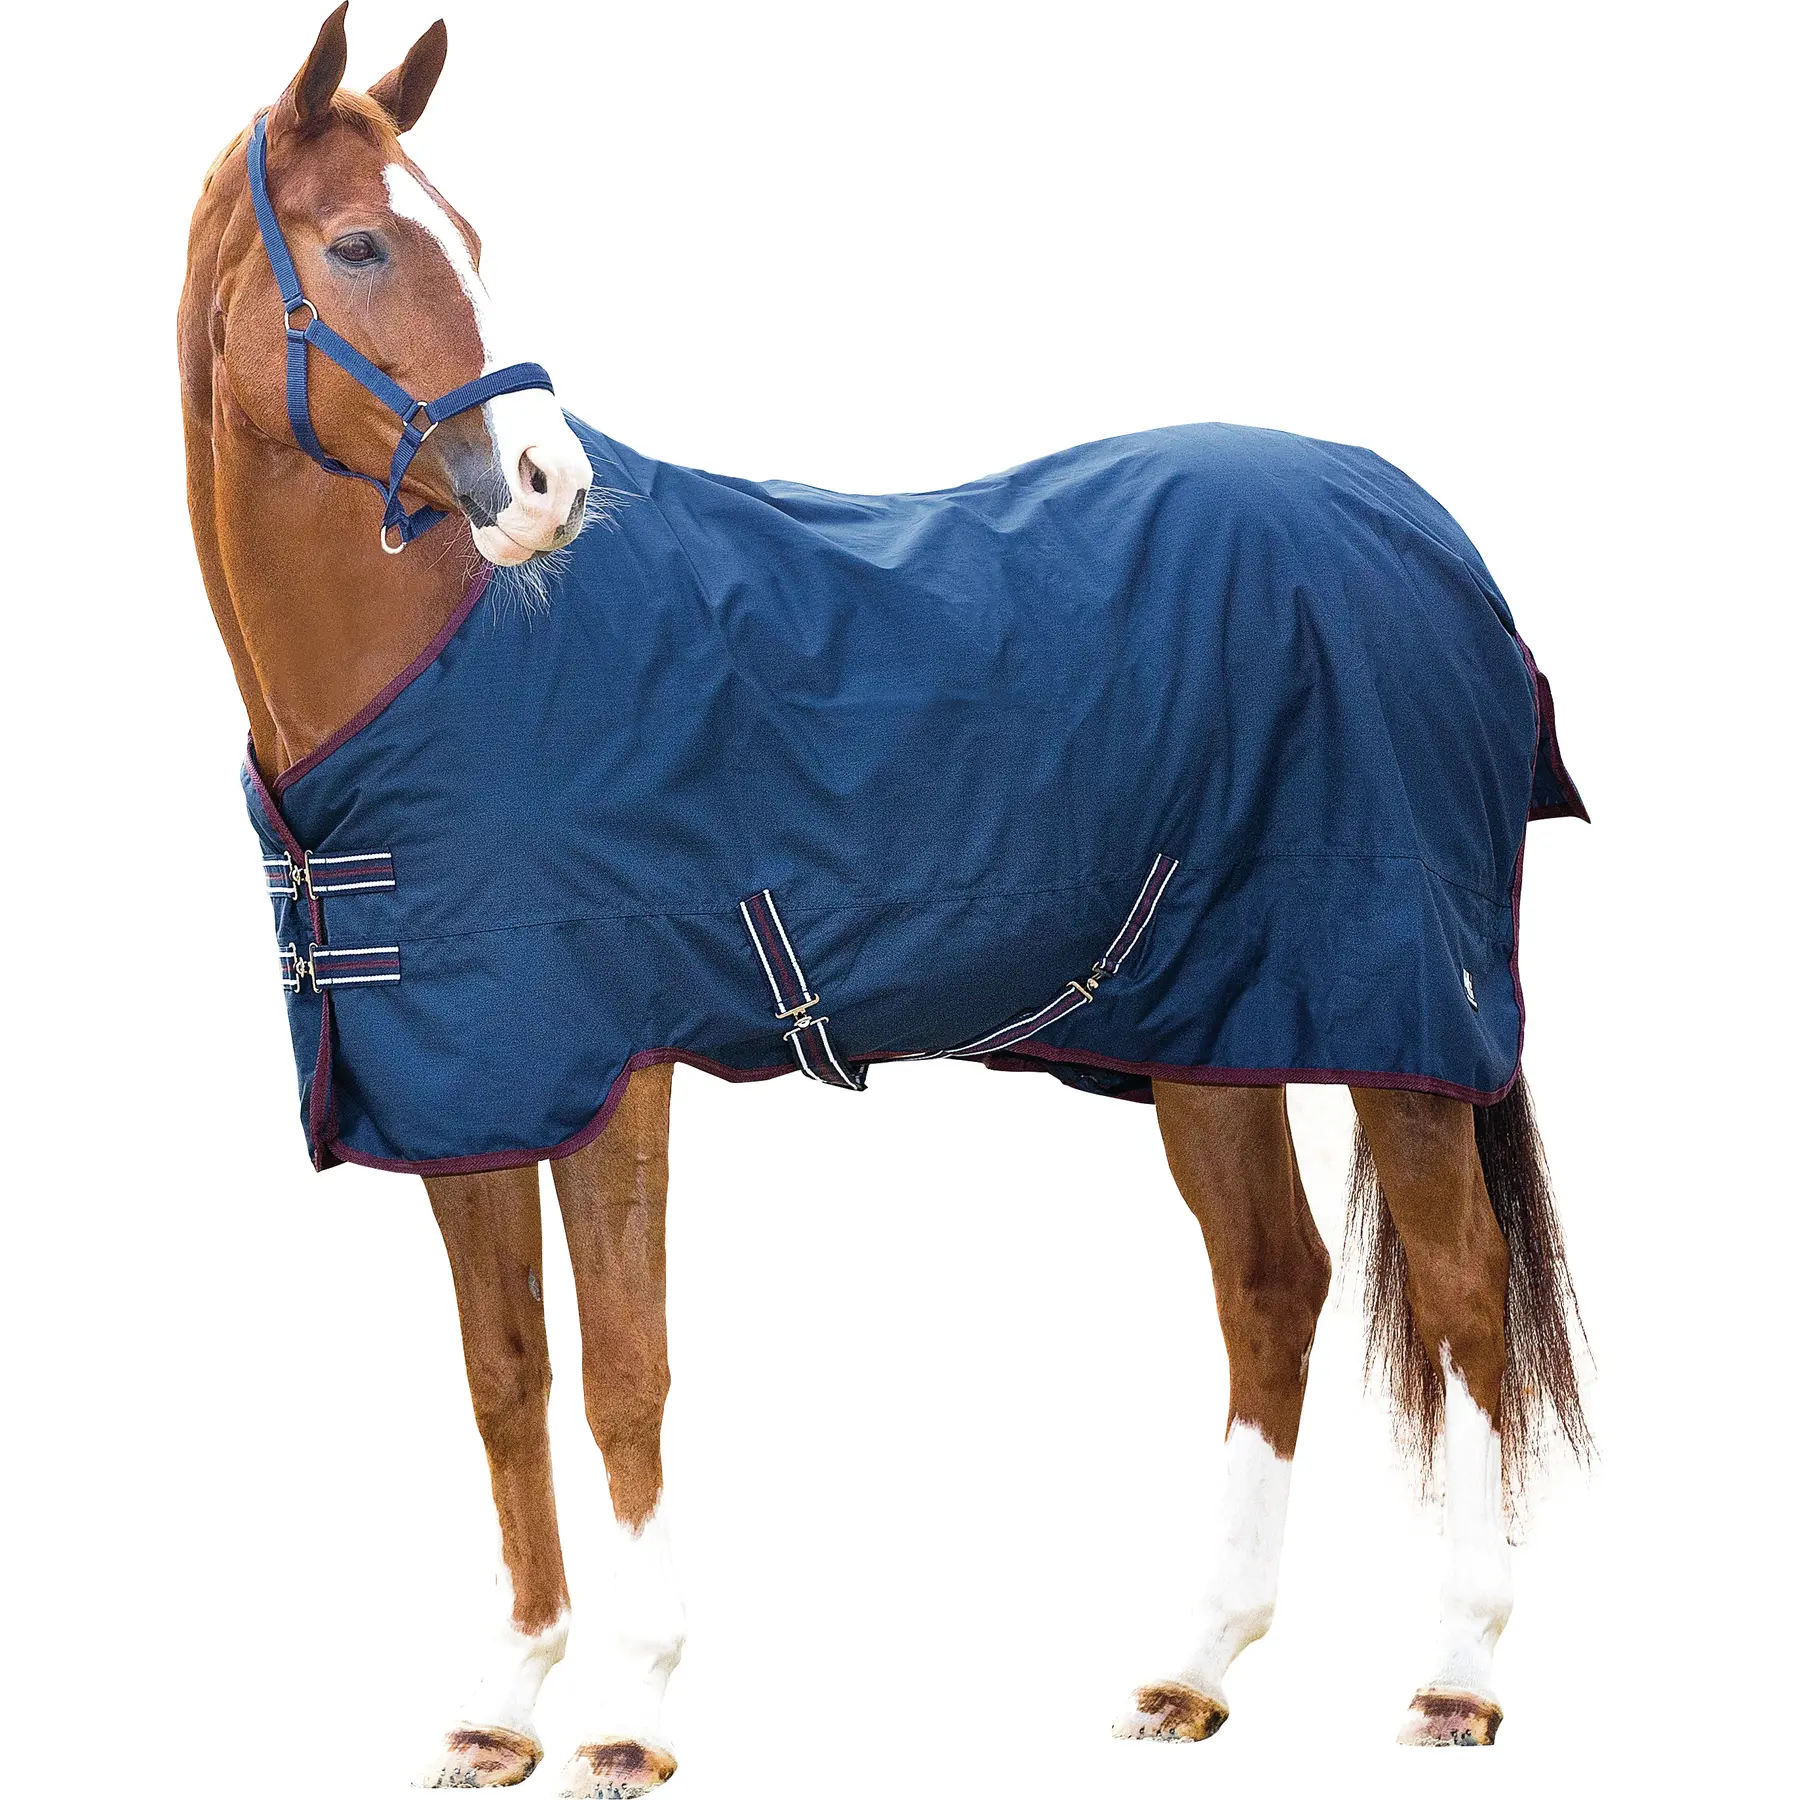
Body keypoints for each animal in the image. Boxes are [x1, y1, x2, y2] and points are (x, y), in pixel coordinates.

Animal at [178, 8, 1589, 1791]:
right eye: (362, 244)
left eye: (470, 241)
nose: (549, 484)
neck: (455, 669)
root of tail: (1427, 533)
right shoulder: (467, 1092)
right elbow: (507, 1377)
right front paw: (503, 1705)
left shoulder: (612, 1076)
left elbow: (624, 1371)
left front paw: (632, 1707)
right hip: (1213, 1025)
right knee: (1273, 1282)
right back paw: (1191, 1669)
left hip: (1401, 1021)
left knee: (1463, 1297)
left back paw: (1458, 1676)